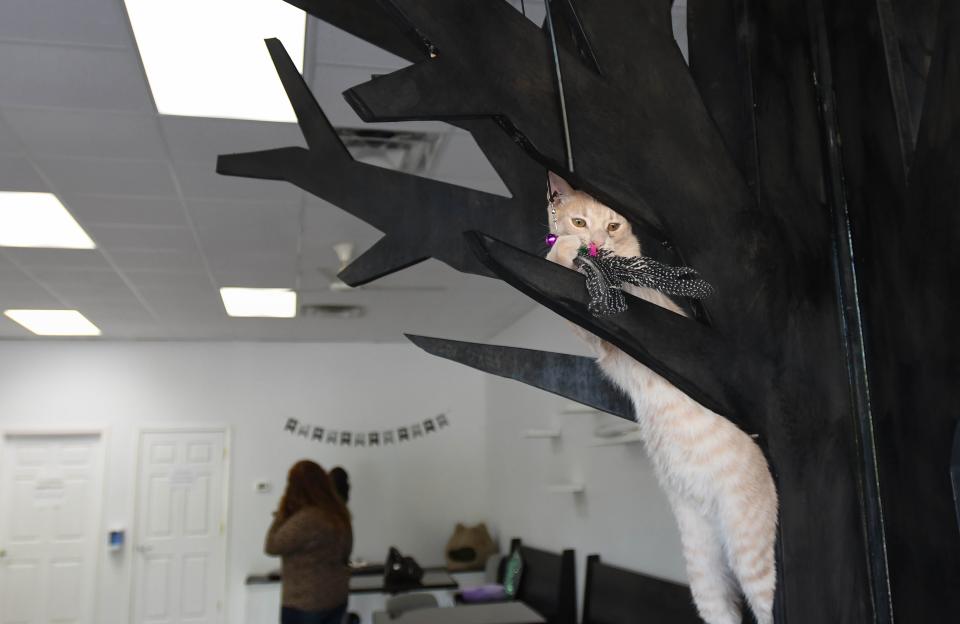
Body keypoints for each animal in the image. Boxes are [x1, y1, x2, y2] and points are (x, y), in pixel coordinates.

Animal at [548, 173, 780, 624]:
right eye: (581, 221)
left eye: (613, 225)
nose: (597, 244)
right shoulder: (597, 341)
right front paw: (565, 248)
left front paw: (565, 252)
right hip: (703, 569)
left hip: (751, 555)